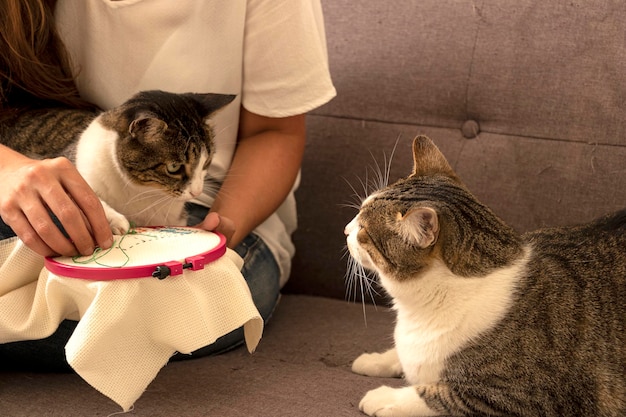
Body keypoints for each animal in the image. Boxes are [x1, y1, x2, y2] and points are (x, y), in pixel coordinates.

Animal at [0, 90, 234, 232]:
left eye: (206, 161)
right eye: (174, 167)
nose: (197, 192)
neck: (141, 193)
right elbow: (82, 197)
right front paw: (114, 220)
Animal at [346, 135, 624, 414]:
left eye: (364, 231)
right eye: (359, 212)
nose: (346, 230)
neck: (418, 310)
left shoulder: (525, 397)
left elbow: (438, 395)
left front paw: (383, 398)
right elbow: (402, 356)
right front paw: (372, 360)